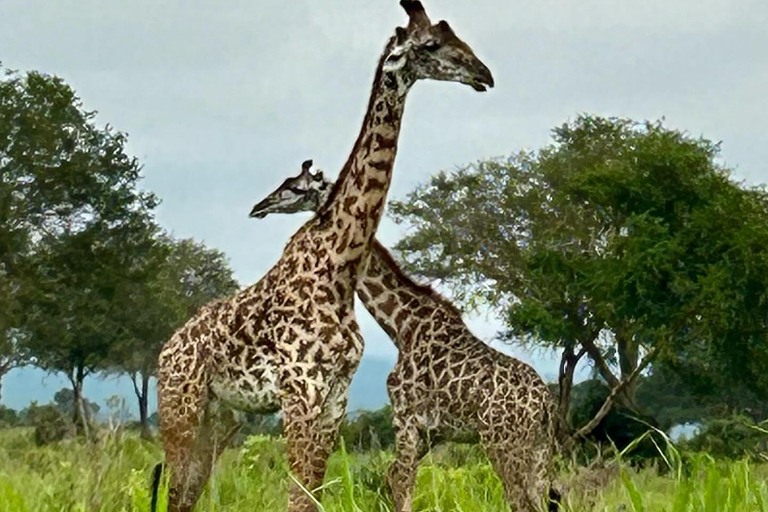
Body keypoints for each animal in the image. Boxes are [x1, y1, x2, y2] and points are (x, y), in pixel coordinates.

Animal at [153, 2, 496, 510]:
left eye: (454, 36)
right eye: (431, 44)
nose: (483, 73)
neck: (339, 263)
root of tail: (165, 350)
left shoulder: (336, 395)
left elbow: (311, 491)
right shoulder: (301, 391)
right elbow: (298, 494)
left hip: (222, 416)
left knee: (187, 492)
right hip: (180, 405)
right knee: (174, 489)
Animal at [249, 160, 560, 512]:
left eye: (295, 187)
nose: (260, 206)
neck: (402, 327)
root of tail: (545, 403)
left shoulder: (405, 419)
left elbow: (402, 486)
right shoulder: (431, 432)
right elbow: (392, 477)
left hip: (504, 442)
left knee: (522, 502)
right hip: (540, 449)